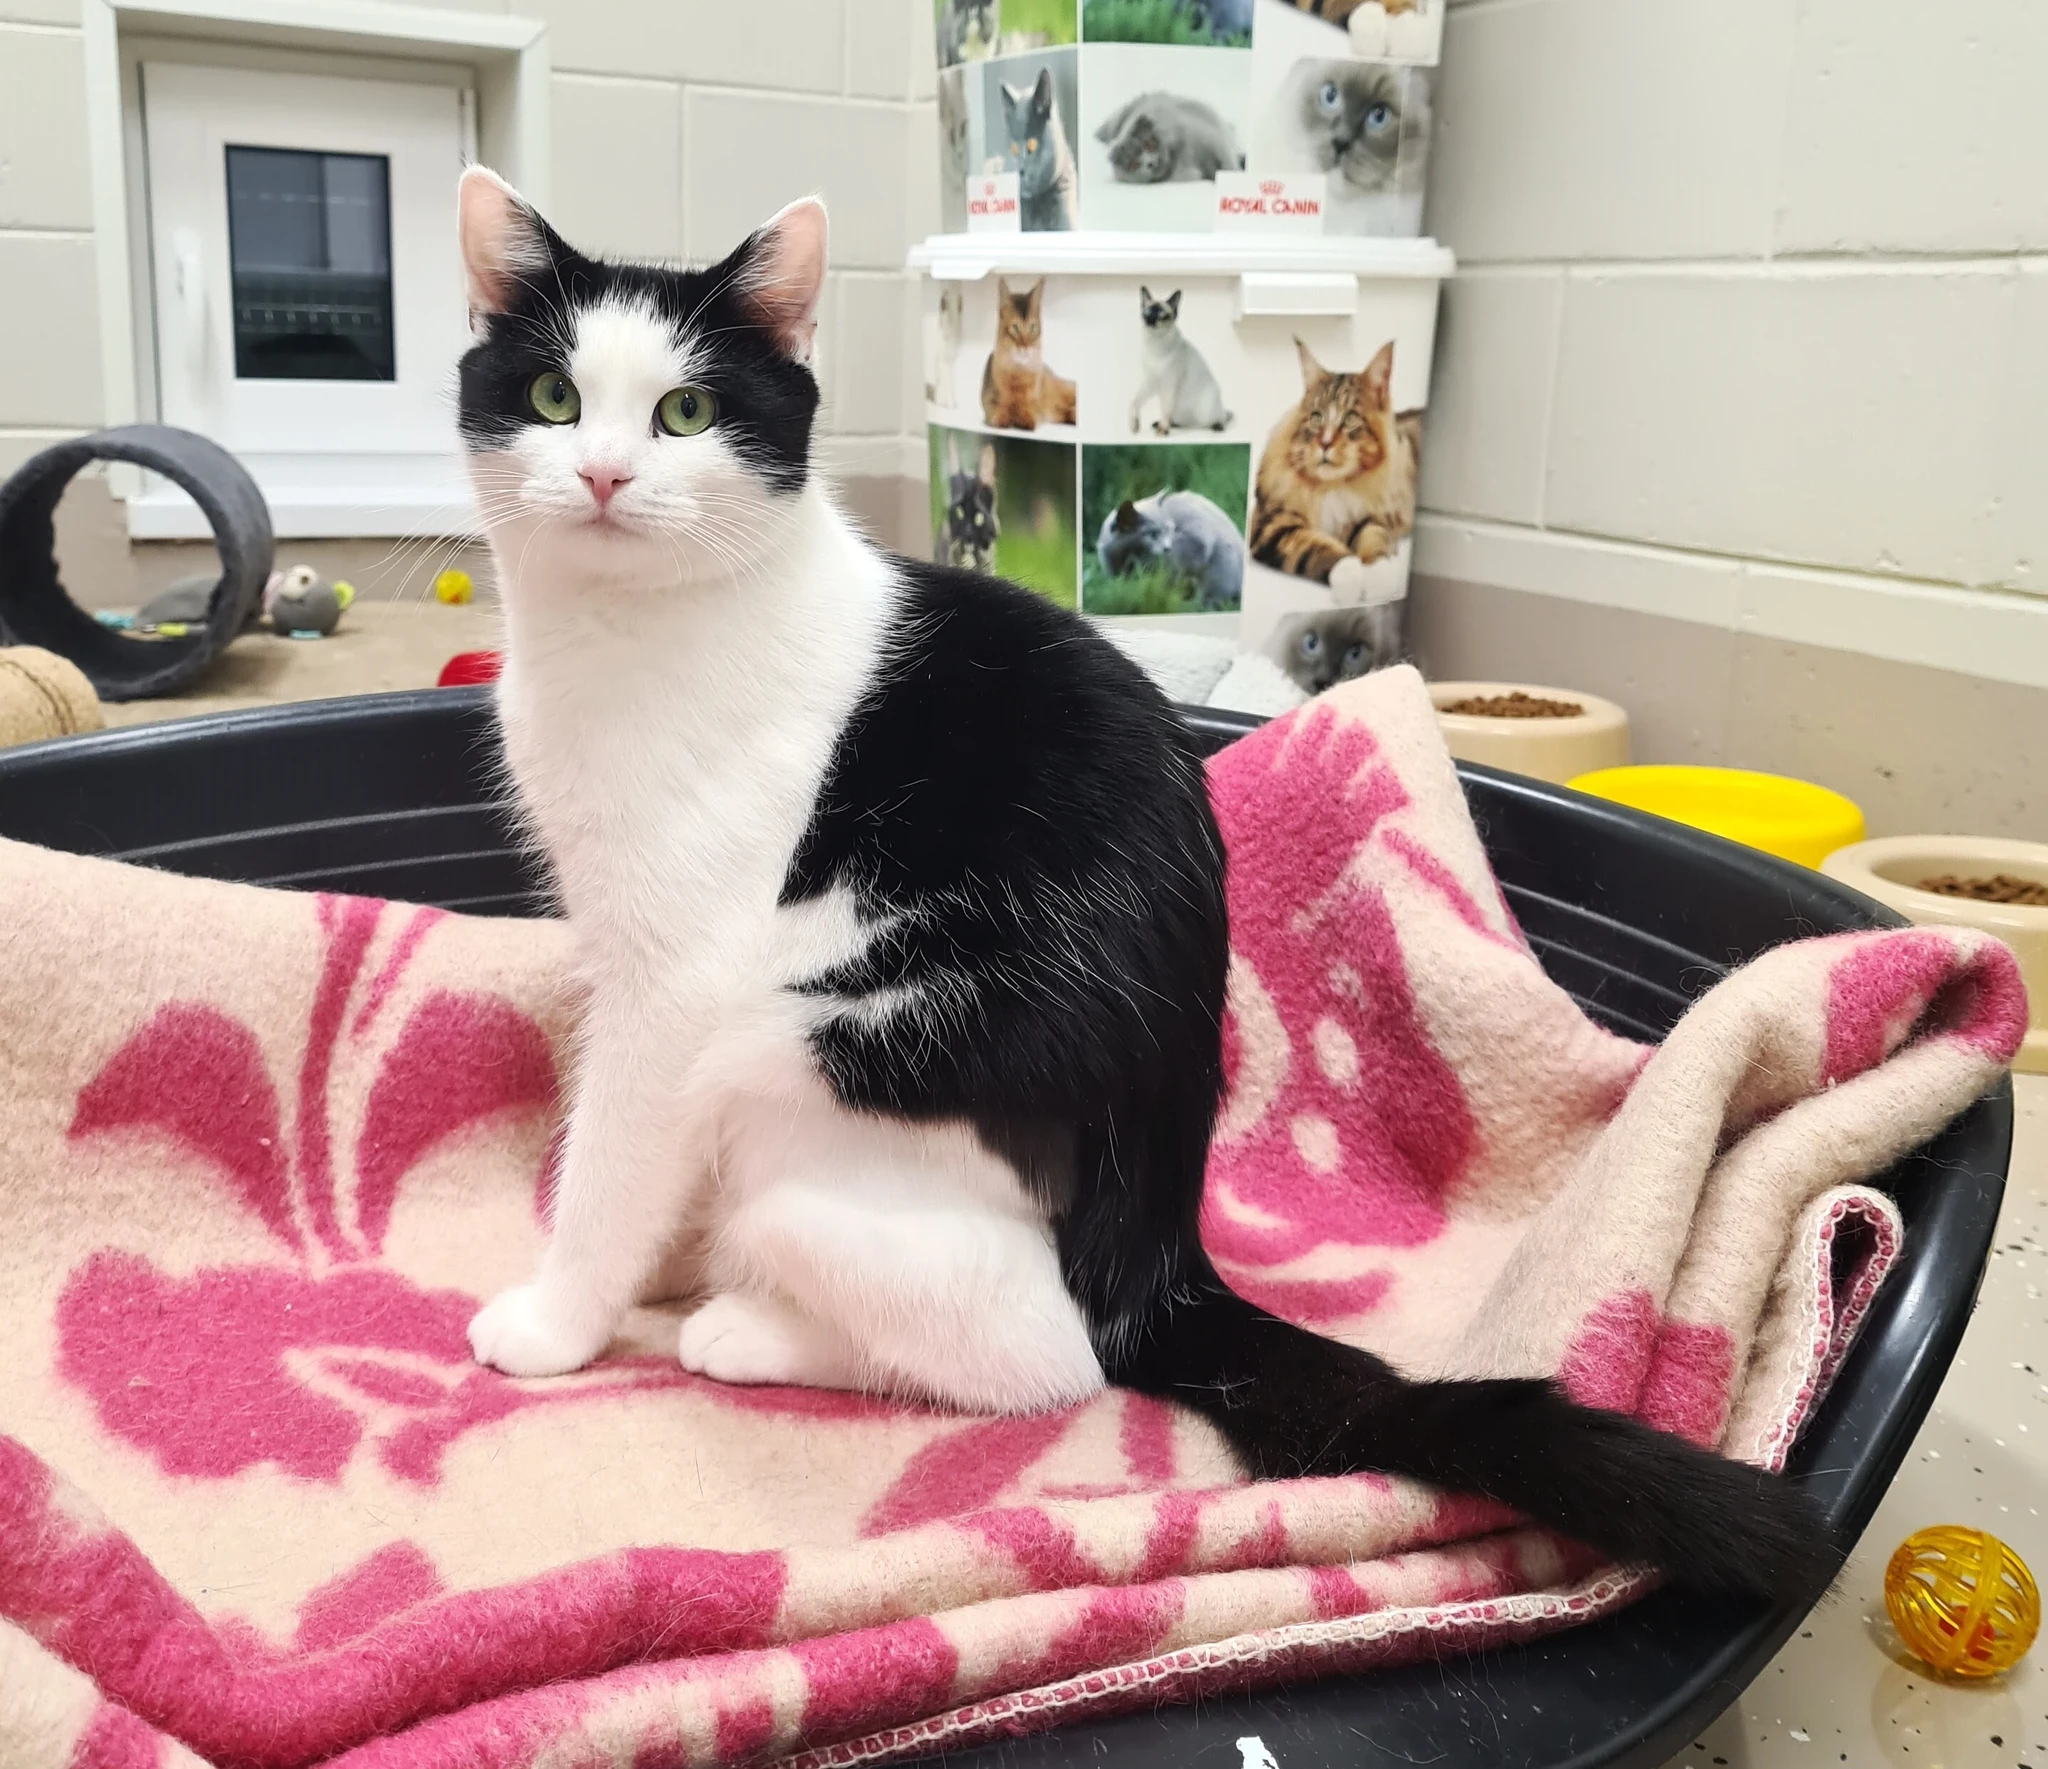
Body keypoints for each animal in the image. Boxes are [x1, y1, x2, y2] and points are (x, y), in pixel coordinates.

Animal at [979, 277, 1076, 430]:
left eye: (1032, 328)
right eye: (1014, 328)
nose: (1025, 346)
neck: (1018, 370)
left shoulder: (1035, 404)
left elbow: (1029, 409)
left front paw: (1025, 418)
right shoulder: (988, 400)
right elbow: (997, 409)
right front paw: (1002, 417)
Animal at [1130, 287, 1231, 435]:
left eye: (1160, 313)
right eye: (1147, 312)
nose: (1150, 321)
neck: (1154, 344)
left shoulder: (1168, 384)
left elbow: (1165, 409)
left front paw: (1163, 429)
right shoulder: (1151, 381)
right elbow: (1134, 402)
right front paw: (1135, 425)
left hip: (1206, 409)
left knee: (1218, 419)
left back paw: (1214, 426)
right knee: (1180, 420)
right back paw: (1168, 424)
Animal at [1249, 338, 1421, 598]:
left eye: (1350, 418)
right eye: (1316, 417)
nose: (1325, 442)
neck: (1331, 487)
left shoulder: (1369, 516)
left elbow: (1374, 540)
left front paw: (1378, 578)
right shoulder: (1273, 525)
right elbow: (1316, 547)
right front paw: (1351, 574)